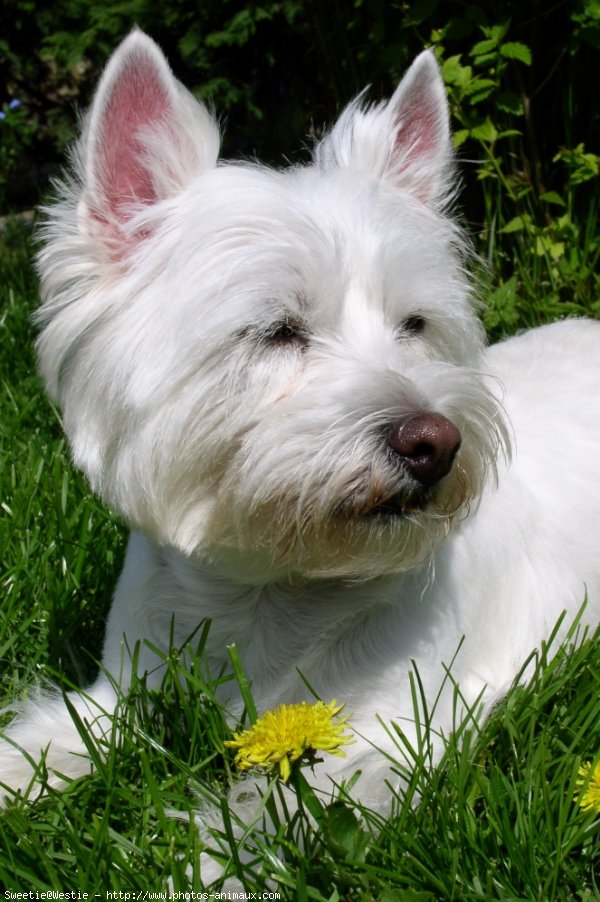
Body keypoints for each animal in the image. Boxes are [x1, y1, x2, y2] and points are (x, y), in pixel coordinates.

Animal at [1, 30, 600, 868]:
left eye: (414, 325)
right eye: (278, 330)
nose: (433, 442)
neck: (270, 592)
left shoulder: (391, 732)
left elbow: (263, 824)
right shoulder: (119, 694)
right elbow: (43, 744)